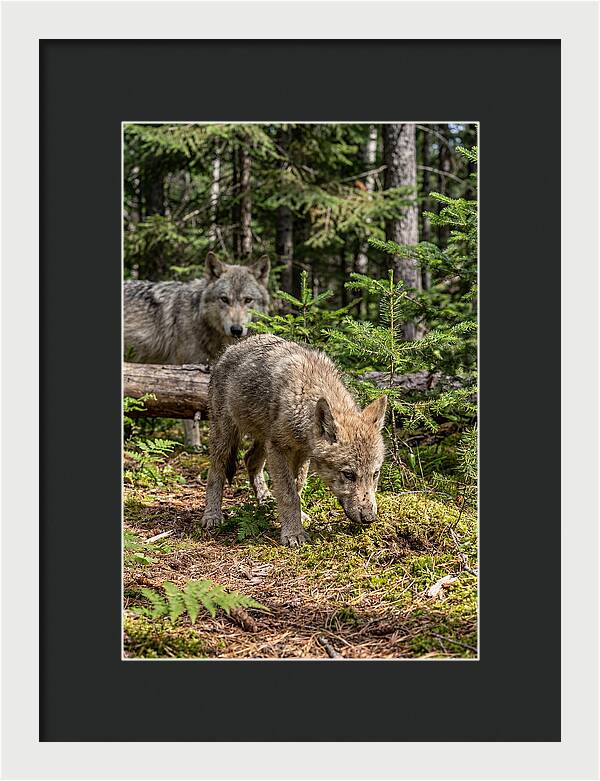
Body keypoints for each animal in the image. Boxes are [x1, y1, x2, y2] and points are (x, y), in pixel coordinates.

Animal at [124, 252, 270, 446]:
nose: (236, 329)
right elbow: (189, 415)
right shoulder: (185, 372)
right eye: (224, 299)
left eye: (248, 300)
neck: (198, 318)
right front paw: (194, 445)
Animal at [200, 334, 387, 546]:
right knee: (216, 471)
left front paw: (297, 518)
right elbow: (288, 494)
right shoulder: (279, 449)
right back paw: (212, 515)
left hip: (264, 440)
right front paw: (293, 534)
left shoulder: (302, 453)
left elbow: (297, 487)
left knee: (250, 460)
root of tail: (229, 349)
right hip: (226, 436)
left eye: (375, 474)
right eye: (349, 475)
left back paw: (265, 500)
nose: (369, 517)